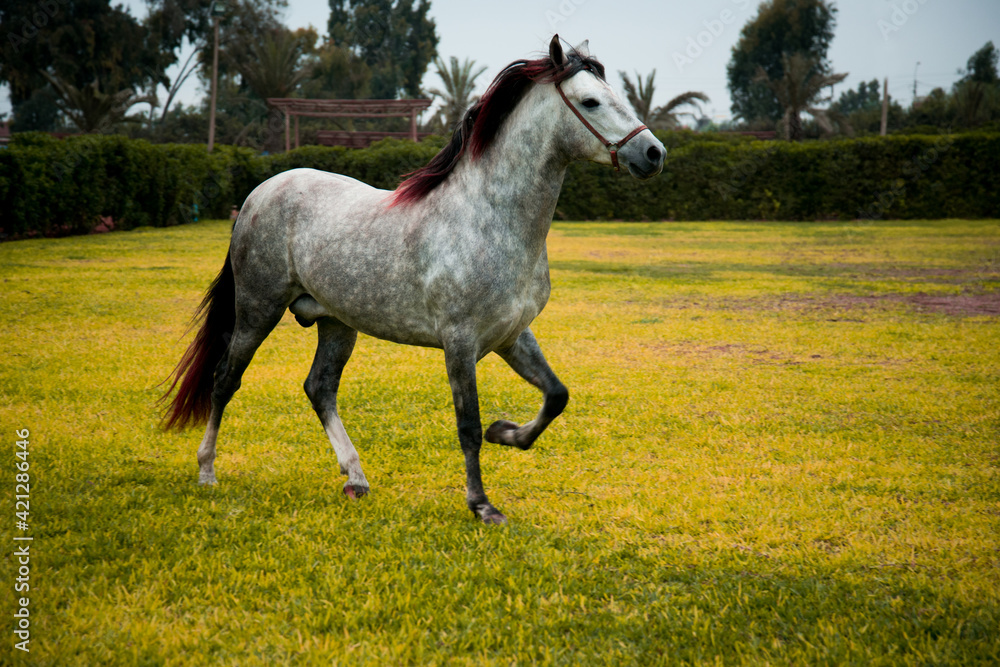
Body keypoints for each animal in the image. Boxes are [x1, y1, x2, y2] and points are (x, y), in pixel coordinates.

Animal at [160, 35, 665, 524]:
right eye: (590, 101)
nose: (653, 153)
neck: (489, 219)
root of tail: (259, 193)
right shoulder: (460, 342)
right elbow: (468, 426)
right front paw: (482, 505)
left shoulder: (512, 335)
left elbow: (556, 395)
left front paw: (507, 433)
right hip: (257, 310)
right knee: (225, 379)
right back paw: (207, 471)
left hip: (337, 323)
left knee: (319, 388)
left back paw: (356, 478)